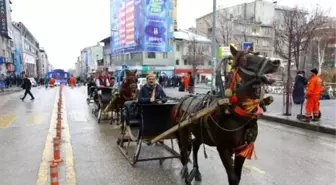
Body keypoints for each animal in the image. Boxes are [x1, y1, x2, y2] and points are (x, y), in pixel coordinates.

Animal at [173, 45, 280, 185]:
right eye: (247, 59)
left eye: (258, 54)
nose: (276, 62)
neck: (238, 115)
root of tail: (183, 100)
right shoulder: (223, 148)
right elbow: (232, 178)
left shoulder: (242, 149)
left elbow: (237, 177)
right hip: (183, 132)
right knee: (185, 152)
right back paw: (186, 171)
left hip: (201, 134)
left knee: (195, 147)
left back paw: (196, 172)